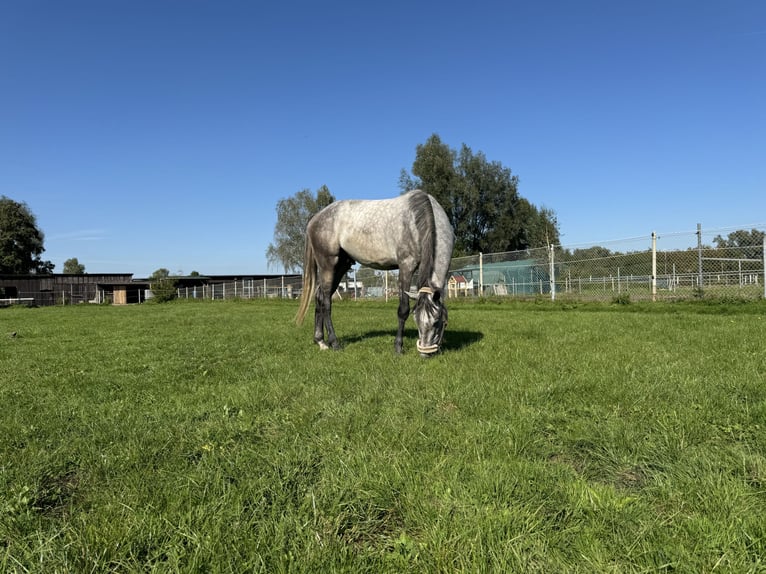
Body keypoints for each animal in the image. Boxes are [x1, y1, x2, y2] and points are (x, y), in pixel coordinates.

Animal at [296, 191, 456, 358]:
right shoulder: (406, 266)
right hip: (328, 264)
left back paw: (320, 341)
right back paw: (334, 343)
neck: (418, 220)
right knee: (326, 302)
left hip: (341, 266)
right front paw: (398, 348)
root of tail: (315, 219)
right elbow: (403, 309)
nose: (425, 354)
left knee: (319, 297)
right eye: (416, 318)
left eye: (438, 321)